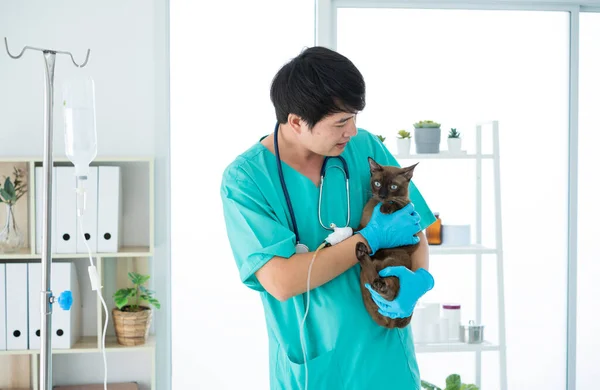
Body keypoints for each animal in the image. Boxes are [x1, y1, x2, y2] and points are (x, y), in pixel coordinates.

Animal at [354, 157, 420, 328]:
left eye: (393, 187)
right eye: (377, 183)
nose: (382, 196)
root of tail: (393, 323)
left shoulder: (413, 238)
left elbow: (398, 203)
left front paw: (386, 208)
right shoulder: (363, 226)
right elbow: (358, 230)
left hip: (393, 263)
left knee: (391, 295)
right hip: (365, 276)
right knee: (374, 280)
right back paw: (361, 252)